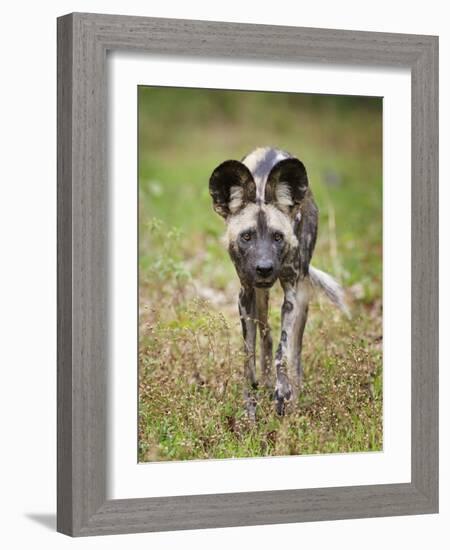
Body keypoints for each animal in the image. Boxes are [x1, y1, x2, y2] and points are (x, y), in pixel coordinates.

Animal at [209, 147, 346, 414]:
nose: (264, 268)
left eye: (277, 237)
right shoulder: (245, 295)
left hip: (301, 296)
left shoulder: (292, 293)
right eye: (247, 237)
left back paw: (294, 395)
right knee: (266, 336)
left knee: (295, 349)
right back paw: (264, 383)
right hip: (260, 298)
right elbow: (248, 354)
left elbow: (283, 350)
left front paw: (282, 392)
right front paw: (250, 402)